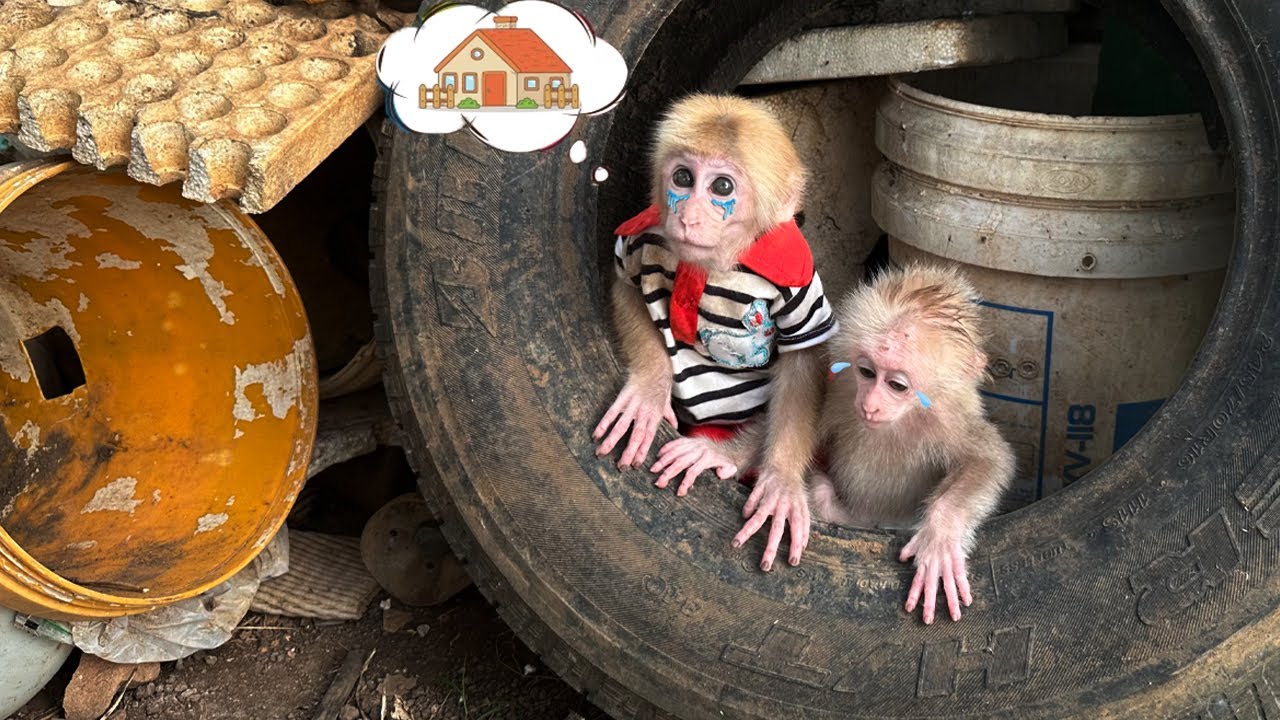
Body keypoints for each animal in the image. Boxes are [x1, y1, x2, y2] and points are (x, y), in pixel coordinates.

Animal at [594, 93, 836, 572]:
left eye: (722, 187)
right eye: (683, 178)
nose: (687, 216)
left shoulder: (797, 283)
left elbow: (805, 363)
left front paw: (780, 480)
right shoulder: (640, 233)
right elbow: (627, 286)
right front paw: (650, 391)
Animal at [812, 262, 1014, 624]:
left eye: (896, 385)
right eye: (866, 372)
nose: (870, 405)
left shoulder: (948, 418)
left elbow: (990, 458)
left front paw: (940, 535)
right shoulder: (841, 394)